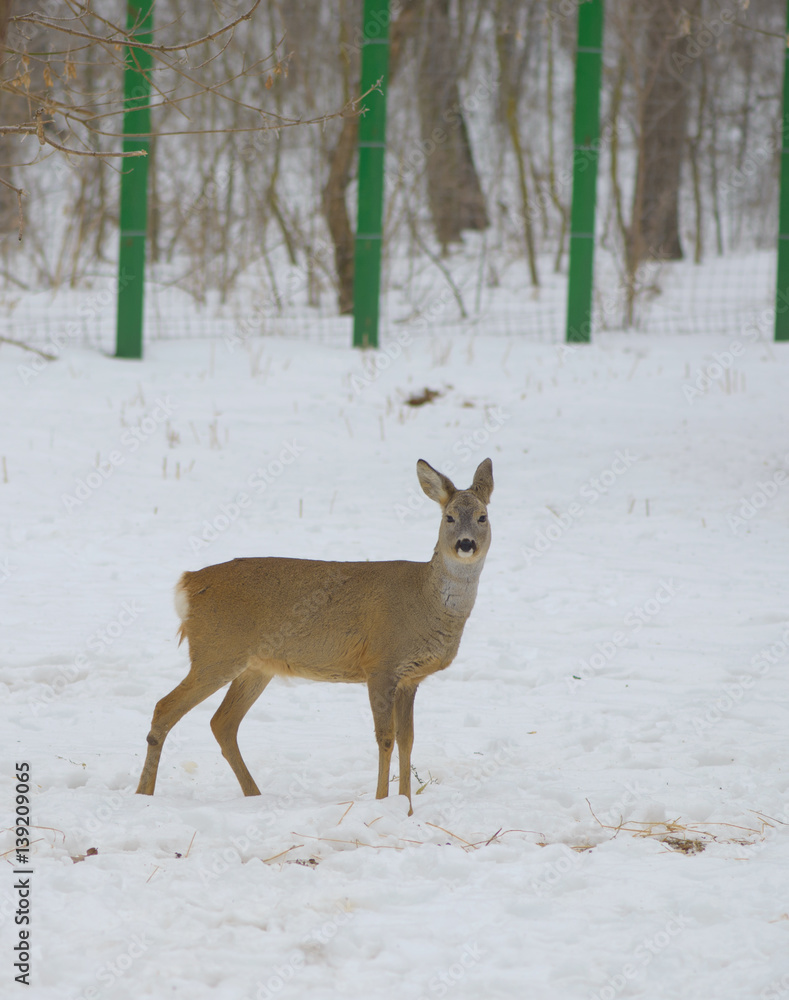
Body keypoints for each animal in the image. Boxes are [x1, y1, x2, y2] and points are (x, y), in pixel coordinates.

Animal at [135, 458, 493, 815]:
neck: (424, 600)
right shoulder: (380, 665)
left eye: (482, 516)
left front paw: (405, 806)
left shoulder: (410, 678)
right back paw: (143, 795)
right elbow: (385, 737)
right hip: (216, 652)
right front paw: (382, 803)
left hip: (255, 666)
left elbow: (408, 740)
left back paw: (255, 796)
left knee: (222, 722)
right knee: (165, 708)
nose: (465, 544)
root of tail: (188, 583)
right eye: (448, 517)